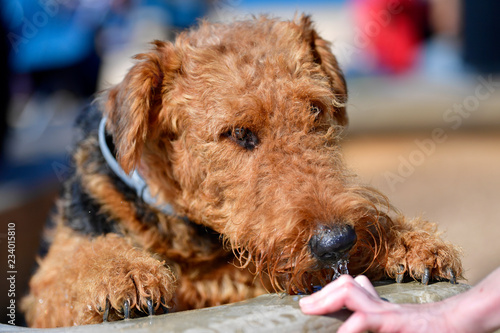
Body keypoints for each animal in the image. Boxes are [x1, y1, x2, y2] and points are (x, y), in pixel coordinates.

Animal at [21, 15, 462, 326]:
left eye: (315, 109)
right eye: (238, 132)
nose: (337, 241)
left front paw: (410, 242)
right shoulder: (45, 287)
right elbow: (73, 268)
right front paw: (122, 273)